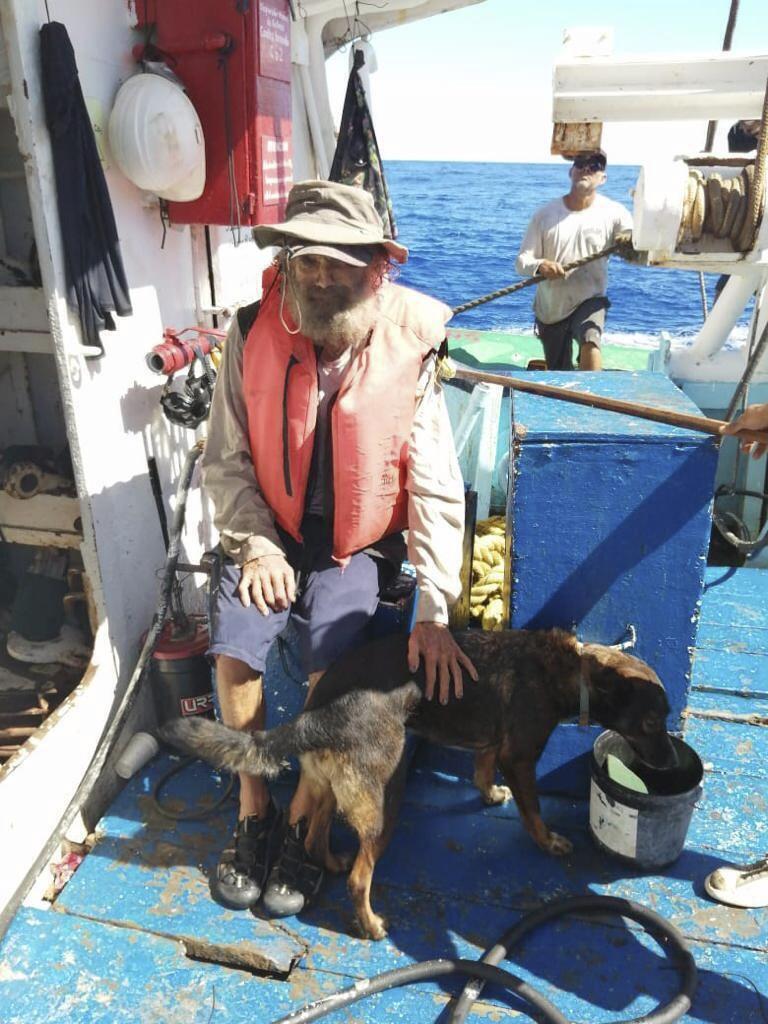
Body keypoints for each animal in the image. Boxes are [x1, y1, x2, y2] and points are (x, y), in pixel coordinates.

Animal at [162, 622, 671, 937]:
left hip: (329, 788)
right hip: (385, 800)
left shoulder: (491, 743)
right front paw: (549, 842)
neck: (571, 671)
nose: (666, 766)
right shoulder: (520, 755)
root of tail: (315, 715)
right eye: (650, 722)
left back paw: (330, 862)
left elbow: (481, 768)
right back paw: (369, 925)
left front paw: (489, 794)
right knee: (360, 877)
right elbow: (533, 811)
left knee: (313, 835)